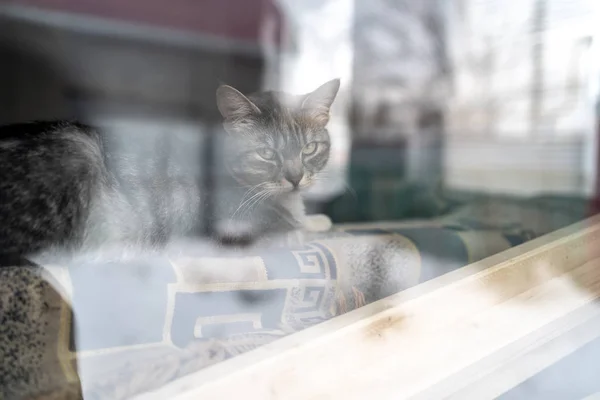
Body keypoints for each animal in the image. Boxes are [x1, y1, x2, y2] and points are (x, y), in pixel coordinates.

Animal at [0, 79, 340, 266]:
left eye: (309, 148)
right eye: (266, 153)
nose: (295, 178)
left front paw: (318, 219)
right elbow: (285, 231)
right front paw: (301, 227)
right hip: (77, 153)